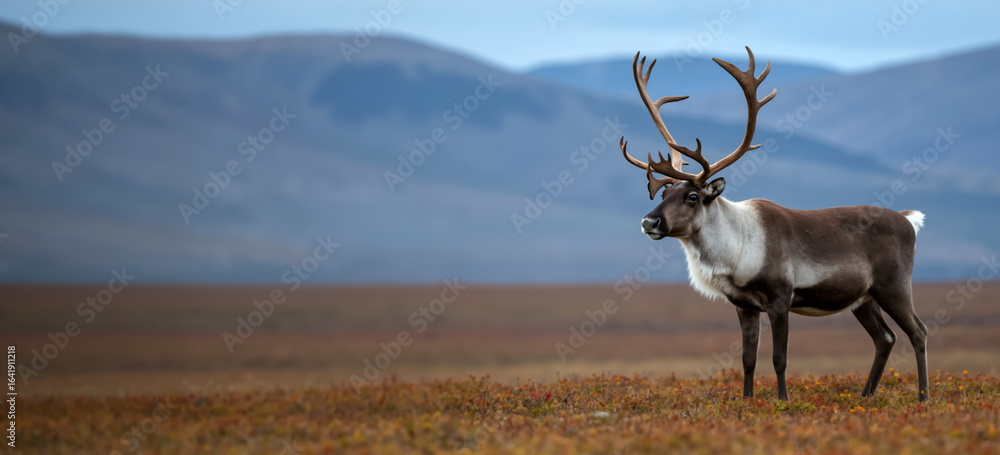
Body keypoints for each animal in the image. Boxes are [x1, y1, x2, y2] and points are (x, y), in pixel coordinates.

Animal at [619, 47, 929, 402]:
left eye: (693, 196)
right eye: (664, 191)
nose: (649, 221)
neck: (736, 247)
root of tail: (908, 220)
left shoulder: (780, 300)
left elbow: (779, 358)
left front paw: (783, 400)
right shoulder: (744, 306)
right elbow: (748, 358)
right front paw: (747, 400)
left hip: (894, 286)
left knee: (919, 332)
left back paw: (923, 397)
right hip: (863, 298)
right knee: (885, 338)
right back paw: (866, 395)